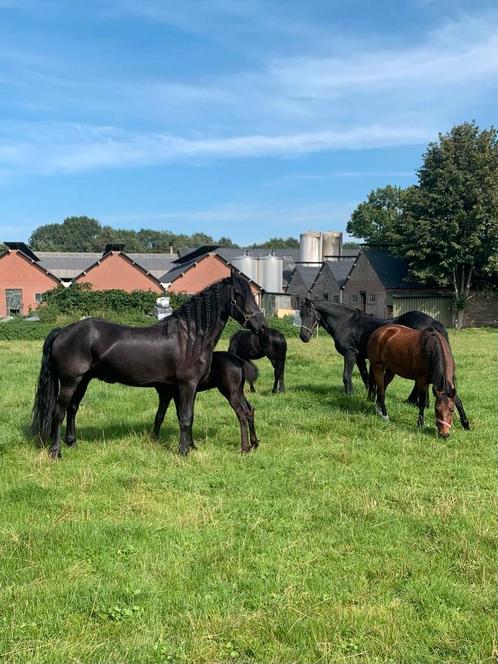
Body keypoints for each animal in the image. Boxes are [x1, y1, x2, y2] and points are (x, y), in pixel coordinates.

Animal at [31, 274, 266, 456]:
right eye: (238, 295)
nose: (262, 326)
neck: (189, 338)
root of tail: (62, 331)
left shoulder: (180, 388)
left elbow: (183, 416)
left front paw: (191, 447)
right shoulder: (187, 385)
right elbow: (186, 418)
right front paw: (184, 451)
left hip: (83, 380)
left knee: (72, 409)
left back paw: (72, 443)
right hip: (70, 381)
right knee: (58, 412)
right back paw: (56, 451)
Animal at [300, 300, 470, 430]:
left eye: (309, 314)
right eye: (300, 314)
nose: (304, 337)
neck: (347, 322)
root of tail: (434, 323)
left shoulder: (351, 354)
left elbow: (347, 377)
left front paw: (350, 396)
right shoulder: (361, 357)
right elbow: (367, 378)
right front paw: (370, 398)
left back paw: (414, 401)